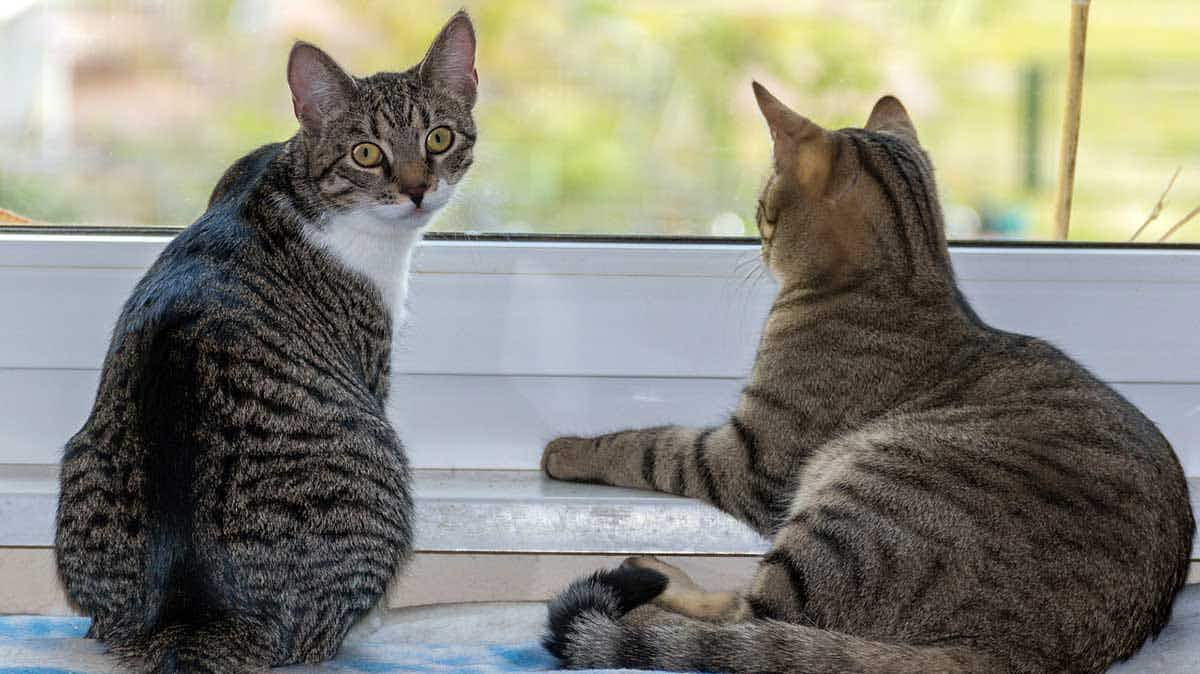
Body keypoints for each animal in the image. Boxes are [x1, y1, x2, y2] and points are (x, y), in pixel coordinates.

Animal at [55, 11, 477, 671]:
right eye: (366, 152)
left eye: (439, 139)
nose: (416, 190)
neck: (294, 185)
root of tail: (197, 616)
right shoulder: (371, 357)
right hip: (381, 472)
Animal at [542, 83, 1190, 671]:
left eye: (762, 203)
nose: (757, 233)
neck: (904, 274)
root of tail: (1018, 656)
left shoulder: (748, 457)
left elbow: (648, 445)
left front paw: (566, 450)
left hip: (862, 497)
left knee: (748, 621)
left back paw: (648, 583)